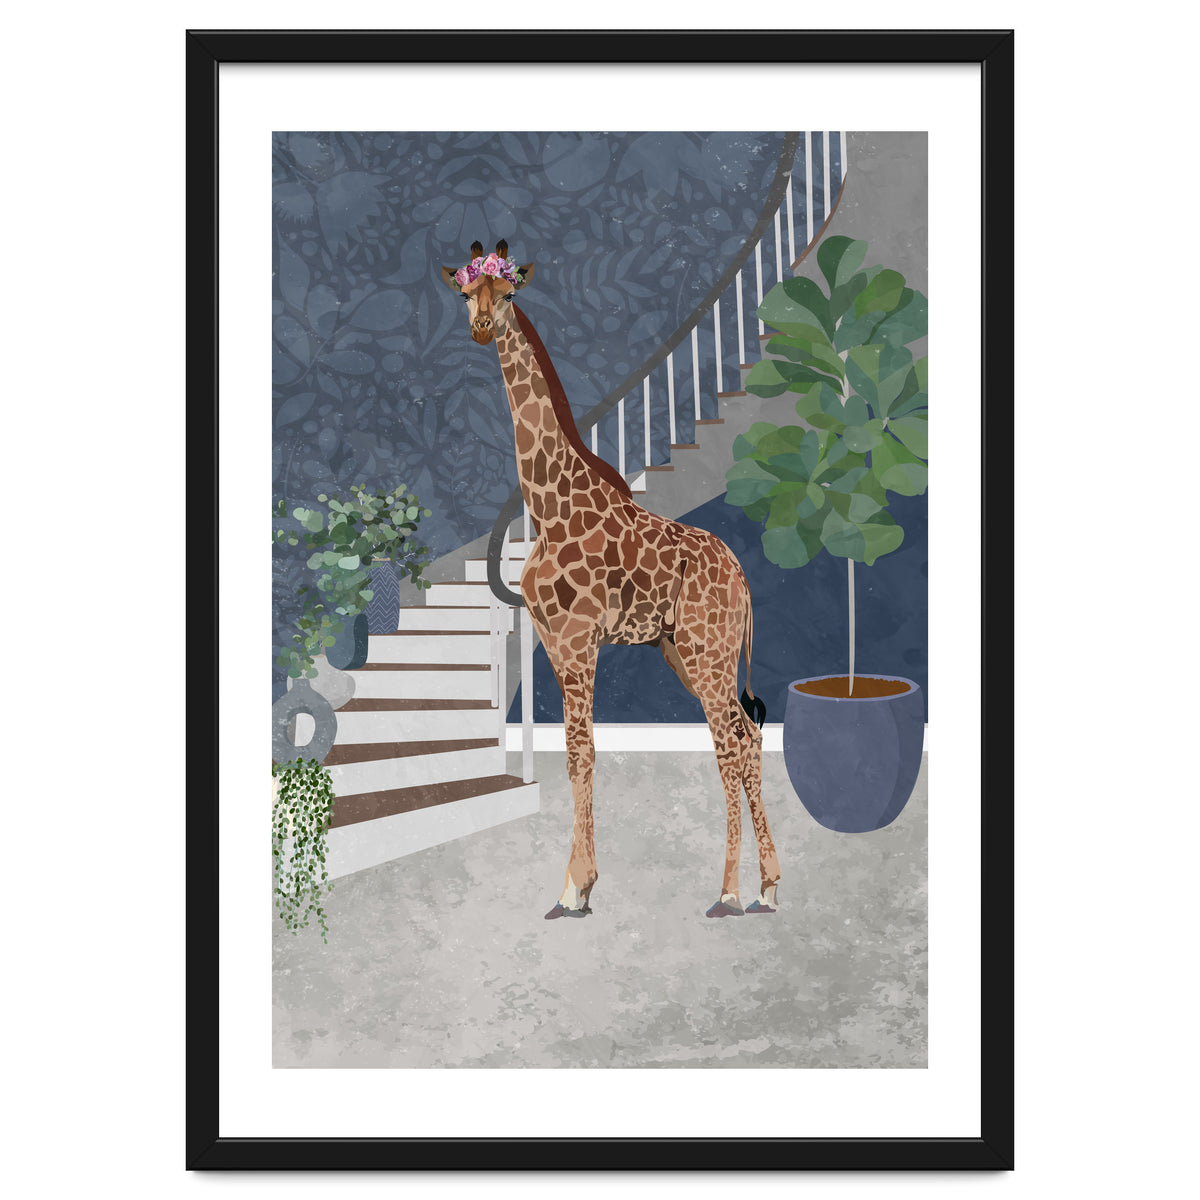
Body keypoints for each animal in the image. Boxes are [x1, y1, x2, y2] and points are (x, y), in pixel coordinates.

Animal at [441, 239, 780, 920]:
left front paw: (574, 887)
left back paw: (729, 891)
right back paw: (767, 886)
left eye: (509, 292)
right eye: (466, 292)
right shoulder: (551, 641)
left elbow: (582, 750)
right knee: (747, 736)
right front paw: (580, 883)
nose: (483, 327)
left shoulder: (578, 641)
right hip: (688, 651)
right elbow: (577, 754)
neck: (548, 505)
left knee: (730, 744)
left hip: (707, 651)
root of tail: (742, 576)